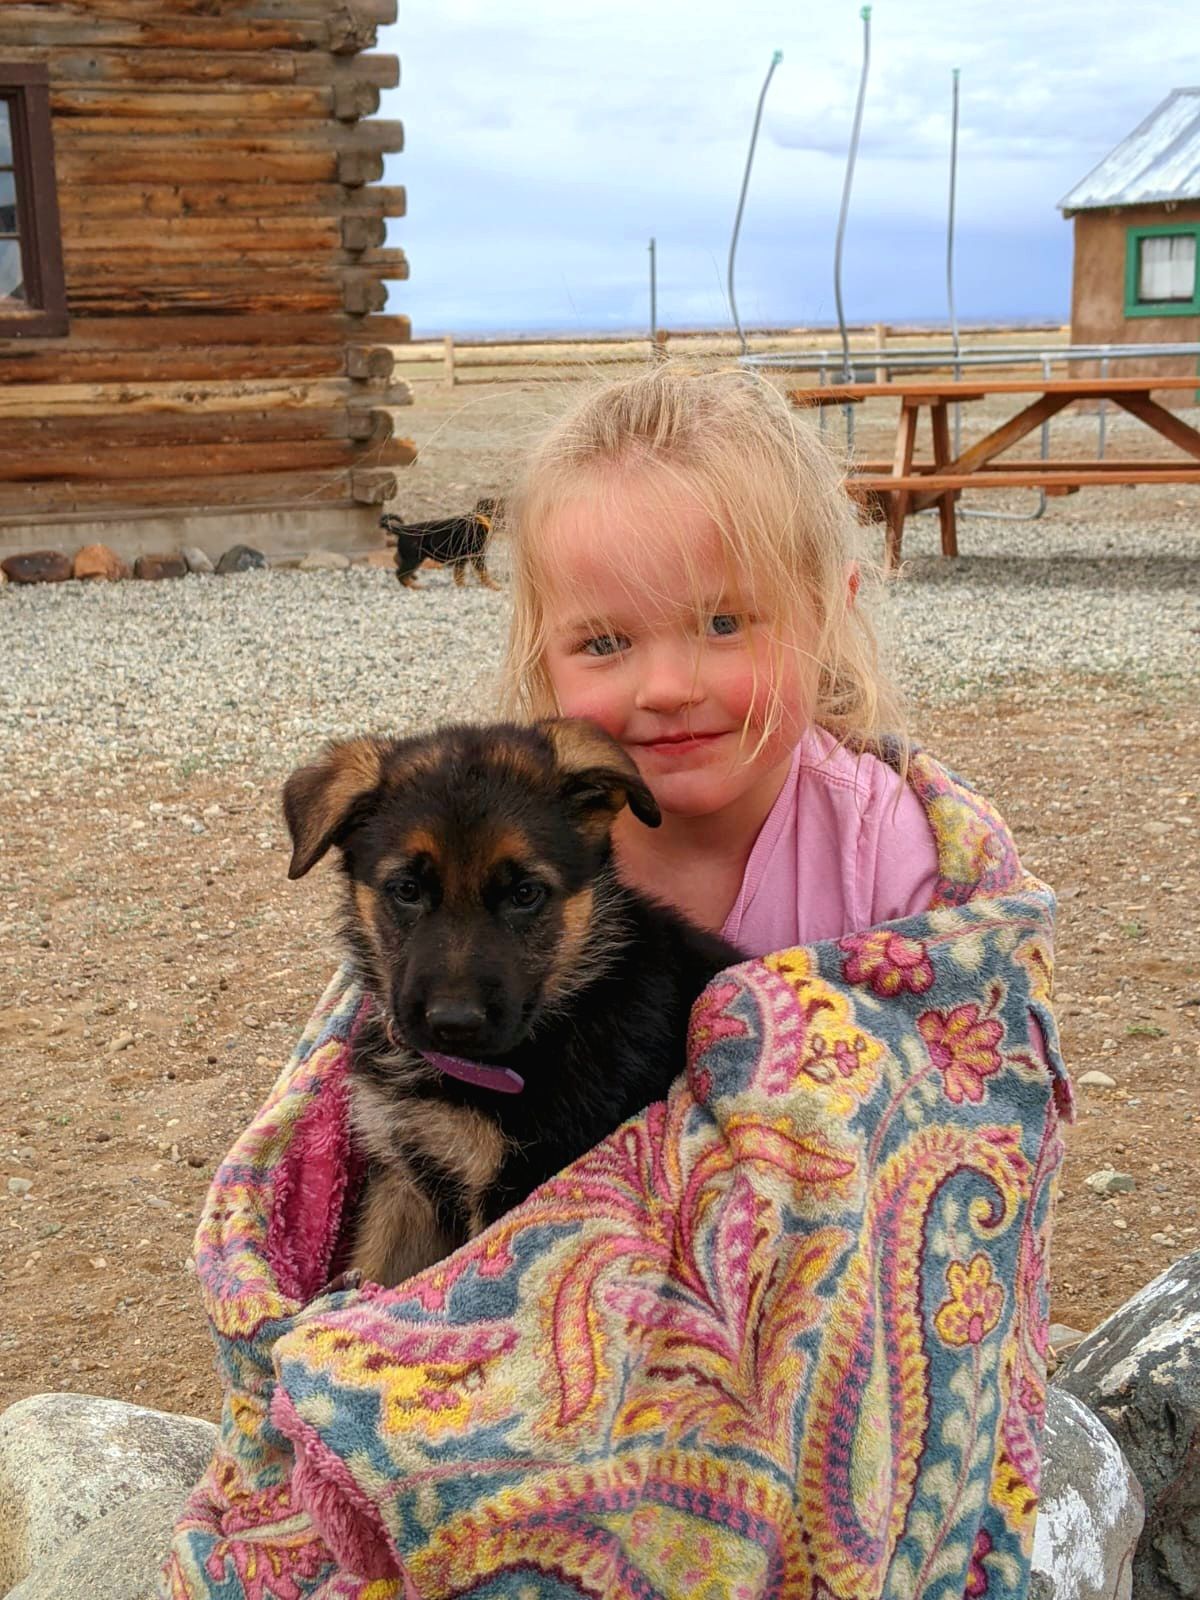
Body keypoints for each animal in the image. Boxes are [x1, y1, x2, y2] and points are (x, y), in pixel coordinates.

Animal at [282, 718, 741, 1289]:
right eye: (406, 889)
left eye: (525, 893)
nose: (453, 1024)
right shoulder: (404, 1180)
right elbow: (368, 1273)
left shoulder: (516, 1187)